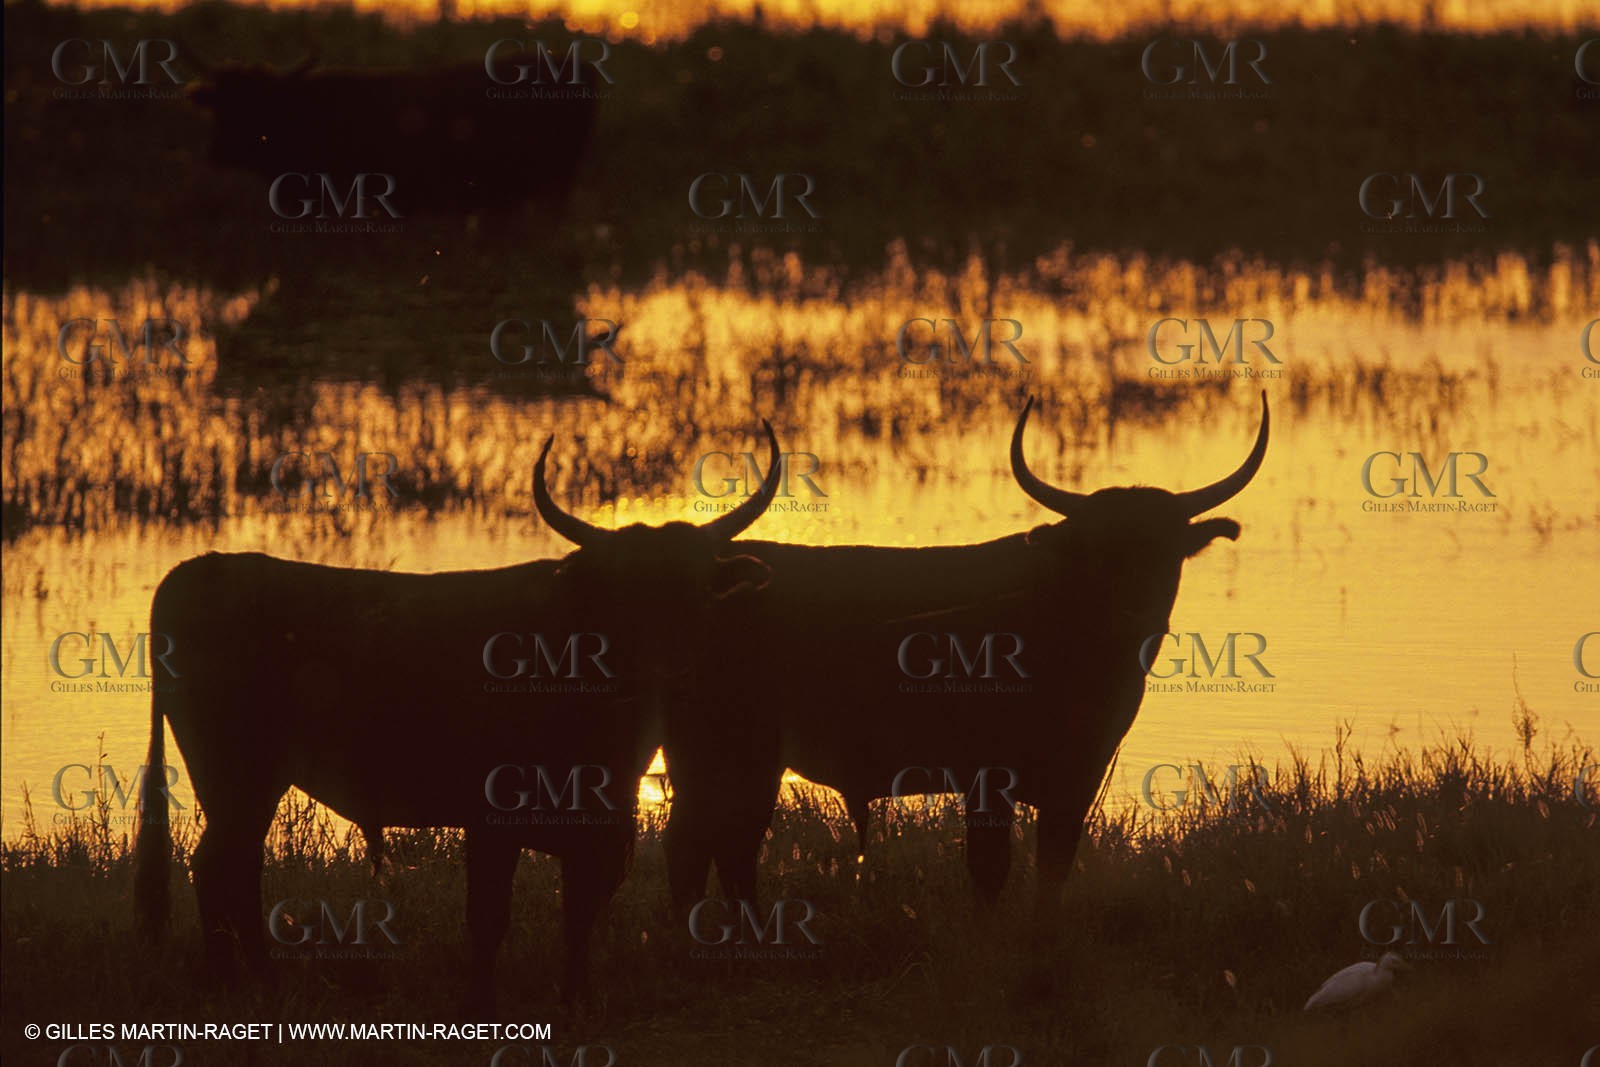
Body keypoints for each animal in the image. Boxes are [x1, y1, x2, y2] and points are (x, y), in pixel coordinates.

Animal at [134, 423, 782, 1008]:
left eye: (693, 592)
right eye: (620, 595)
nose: (665, 671)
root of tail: (204, 567)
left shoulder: (599, 827)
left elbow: (579, 911)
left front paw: (575, 995)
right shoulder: (491, 819)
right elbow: (489, 916)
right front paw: (481, 1001)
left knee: (230, 868)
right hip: (234, 775)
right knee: (220, 869)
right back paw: (244, 983)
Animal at [664, 395, 1268, 919]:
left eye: (1166, 551)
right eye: (1099, 551)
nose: (1133, 611)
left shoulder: (1079, 779)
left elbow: (1052, 870)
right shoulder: (988, 778)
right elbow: (990, 868)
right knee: (713, 847)